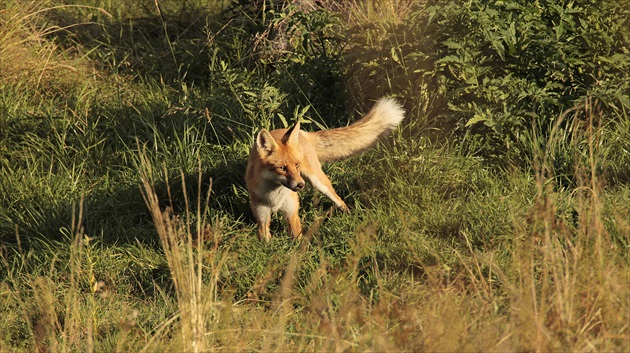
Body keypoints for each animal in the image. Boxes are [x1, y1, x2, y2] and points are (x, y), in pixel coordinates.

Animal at [244, 96, 408, 241]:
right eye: (282, 168)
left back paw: (349, 216)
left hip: (319, 182)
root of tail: (302, 133)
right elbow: (265, 240)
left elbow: (296, 239)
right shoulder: (262, 216)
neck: (274, 197)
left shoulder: (292, 212)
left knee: (339, 200)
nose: (300, 185)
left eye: (297, 165)